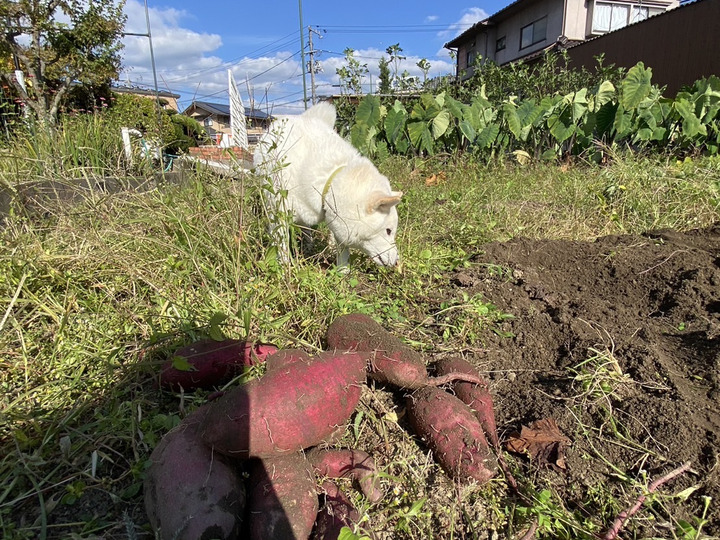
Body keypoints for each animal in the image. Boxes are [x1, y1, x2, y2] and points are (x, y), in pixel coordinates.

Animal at [253, 101, 402, 268]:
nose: (396, 262)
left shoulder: (335, 220)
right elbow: (281, 243)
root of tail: (300, 117)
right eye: (388, 231)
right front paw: (284, 267)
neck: (328, 179)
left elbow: (342, 252)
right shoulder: (278, 212)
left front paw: (342, 271)